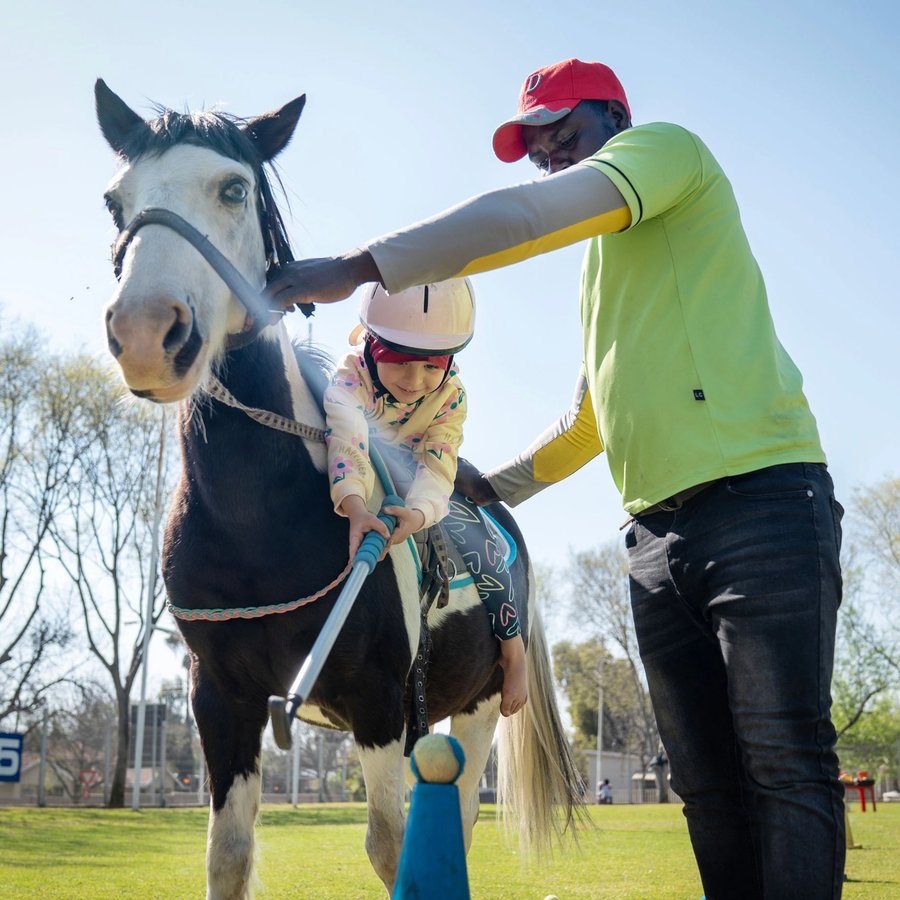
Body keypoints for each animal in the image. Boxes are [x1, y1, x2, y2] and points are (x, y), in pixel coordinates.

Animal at [94, 79, 584, 898]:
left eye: (233, 188)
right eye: (114, 201)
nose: (146, 334)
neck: (258, 524)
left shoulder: (380, 700)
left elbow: (392, 847)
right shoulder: (218, 699)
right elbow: (227, 856)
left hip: (477, 706)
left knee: (454, 820)